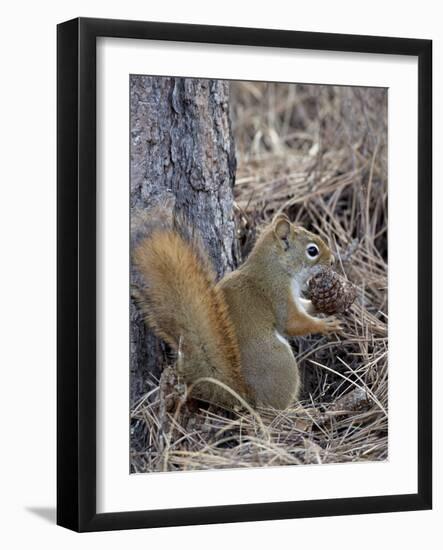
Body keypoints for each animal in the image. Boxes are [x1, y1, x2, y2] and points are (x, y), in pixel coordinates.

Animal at [132, 209, 340, 412]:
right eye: (312, 250)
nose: (332, 261)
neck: (276, 266)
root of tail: (242, 395)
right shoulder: (277, 294)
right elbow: (293, 322)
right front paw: (324, 325)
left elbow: (304, 307)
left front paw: (320, 304)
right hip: (280, 361)